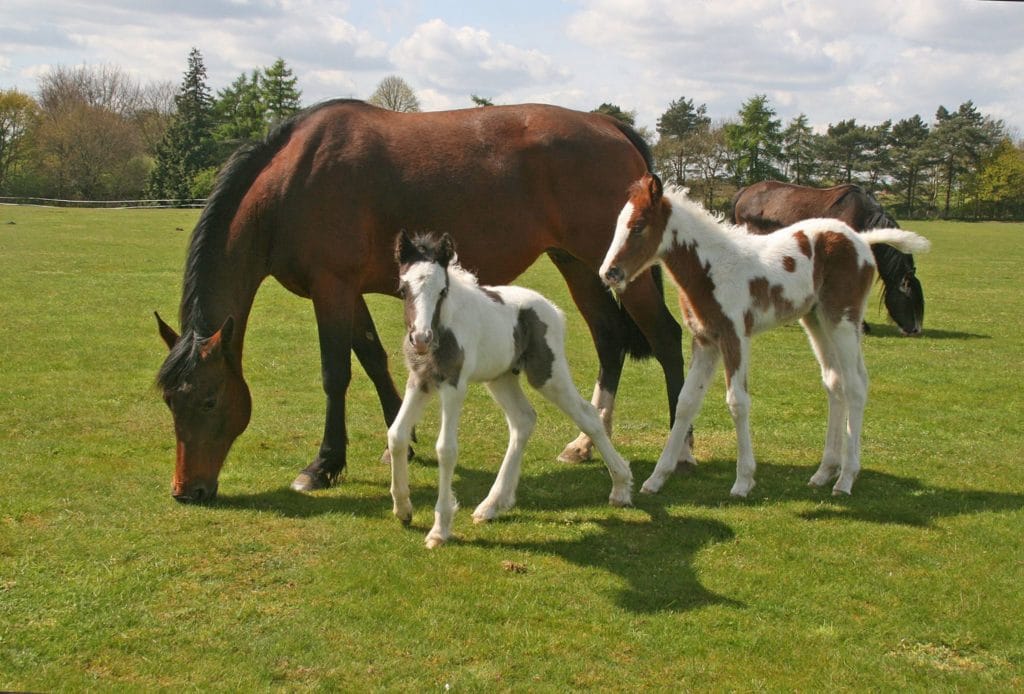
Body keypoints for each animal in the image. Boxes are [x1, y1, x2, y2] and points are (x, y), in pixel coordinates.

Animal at [155, 99, 683, 503]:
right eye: (170, 402)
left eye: (208, 400)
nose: (186, 490)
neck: (291, 182)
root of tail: (607, 124)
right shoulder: (348, 291)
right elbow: (373, 357)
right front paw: (402, 440)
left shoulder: (332, 287)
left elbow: (336, 374)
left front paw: (324, 465)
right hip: (579, 266)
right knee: (609, 340)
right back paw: (585, 444)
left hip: (620, 270)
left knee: (667, 338)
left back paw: (679, 451)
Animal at [388, 231, 633, 548]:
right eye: (403, 289)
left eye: (442, 291)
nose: (420, 338)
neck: (445, 327)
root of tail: (552, 309)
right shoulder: (420, 381)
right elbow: (396, 434)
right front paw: (403, 509)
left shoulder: (454, 385)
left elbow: (446, 448)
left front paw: (439, 529)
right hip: (501, 378)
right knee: (523, 420)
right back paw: (492, 505)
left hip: (547, 375)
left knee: (588, 416)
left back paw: (621, 487)